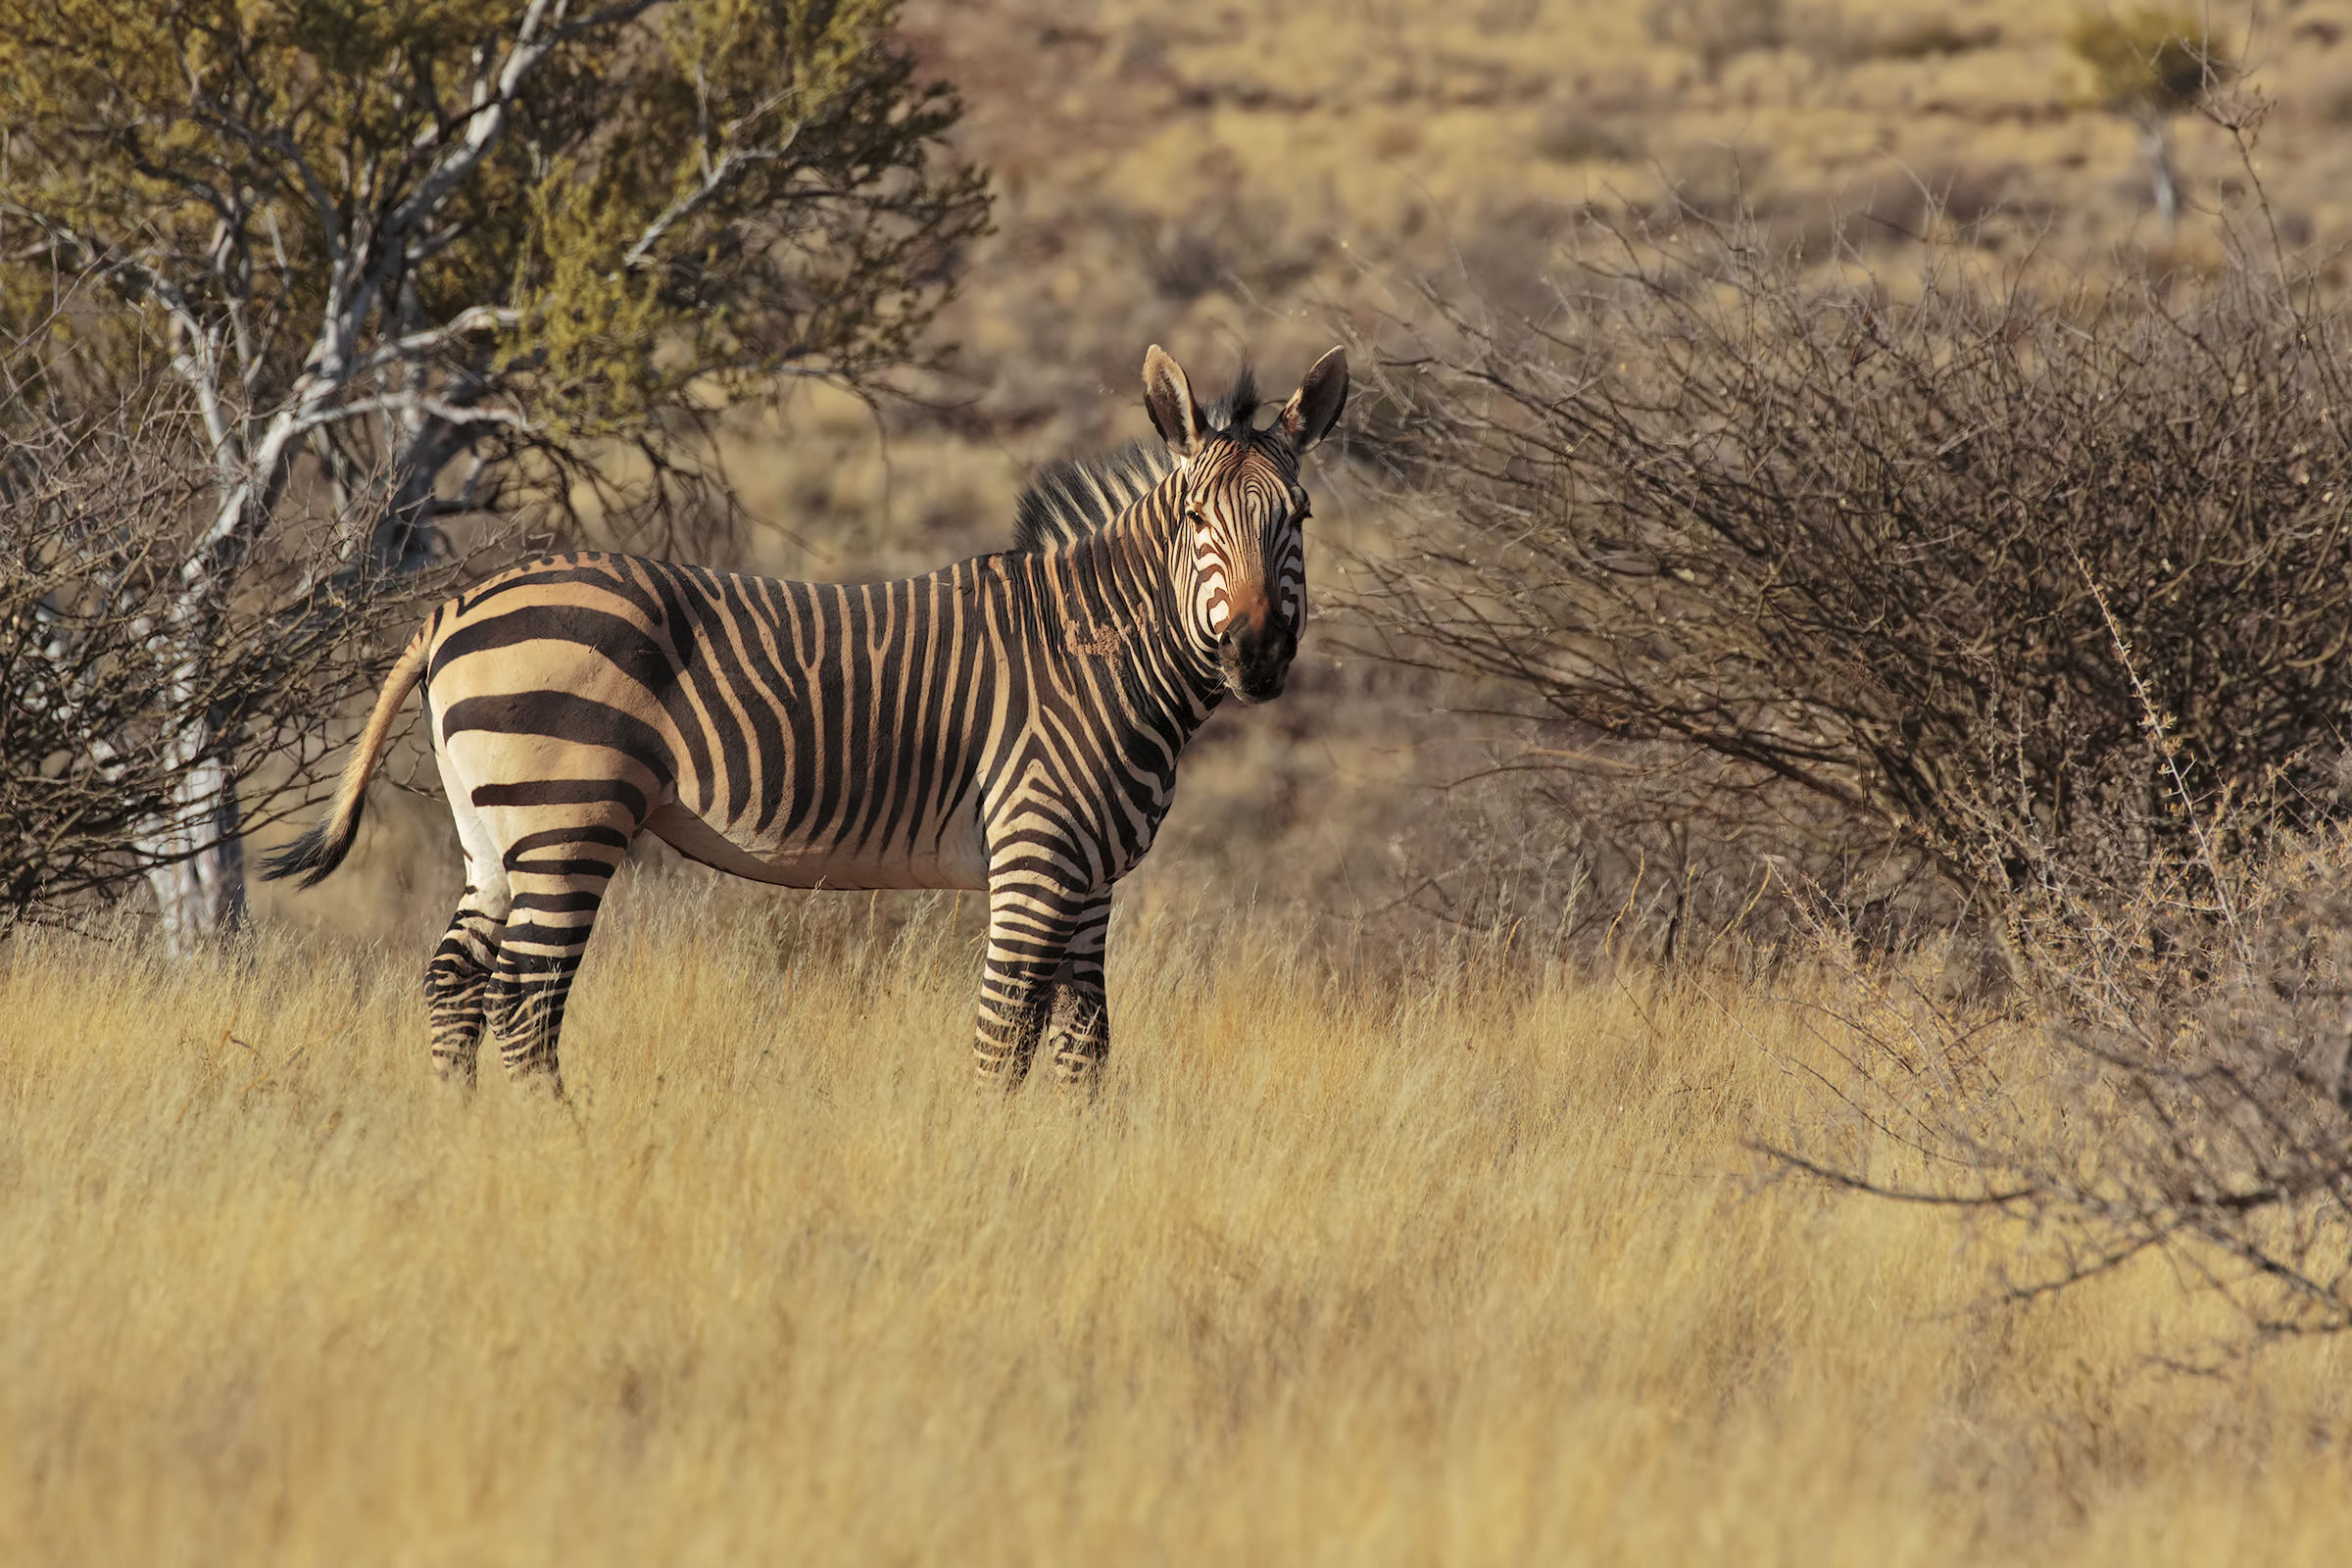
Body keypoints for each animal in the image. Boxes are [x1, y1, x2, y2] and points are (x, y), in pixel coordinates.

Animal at [262, 344, 1349, 1093]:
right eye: (1198, 520)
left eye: (1297, 517)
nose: (1257, 651)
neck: (1101, 648)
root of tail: (456, 605)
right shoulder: (1036, 858)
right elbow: (1003, 1040)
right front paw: (994, 1170)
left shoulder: (1090, 883)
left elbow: (1086, 1050)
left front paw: (1070, 1170)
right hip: (565, 818)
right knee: (524, 1005)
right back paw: (556, 1149)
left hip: (493, 829)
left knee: (454, 985)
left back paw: (470, 1138)